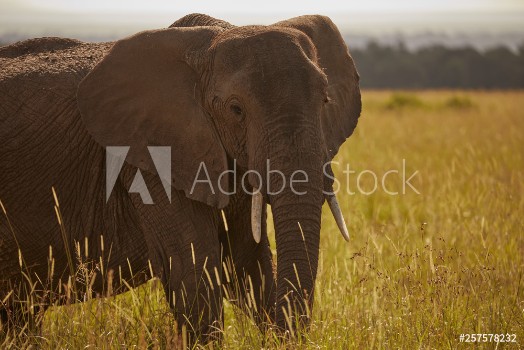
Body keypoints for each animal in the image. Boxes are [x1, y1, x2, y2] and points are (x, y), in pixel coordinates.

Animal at [0, 13, 360, 342]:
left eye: (325, 101)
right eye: (236, 110)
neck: (208, 46)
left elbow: (246, 261)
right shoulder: (153, 158)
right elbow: (196, 268)